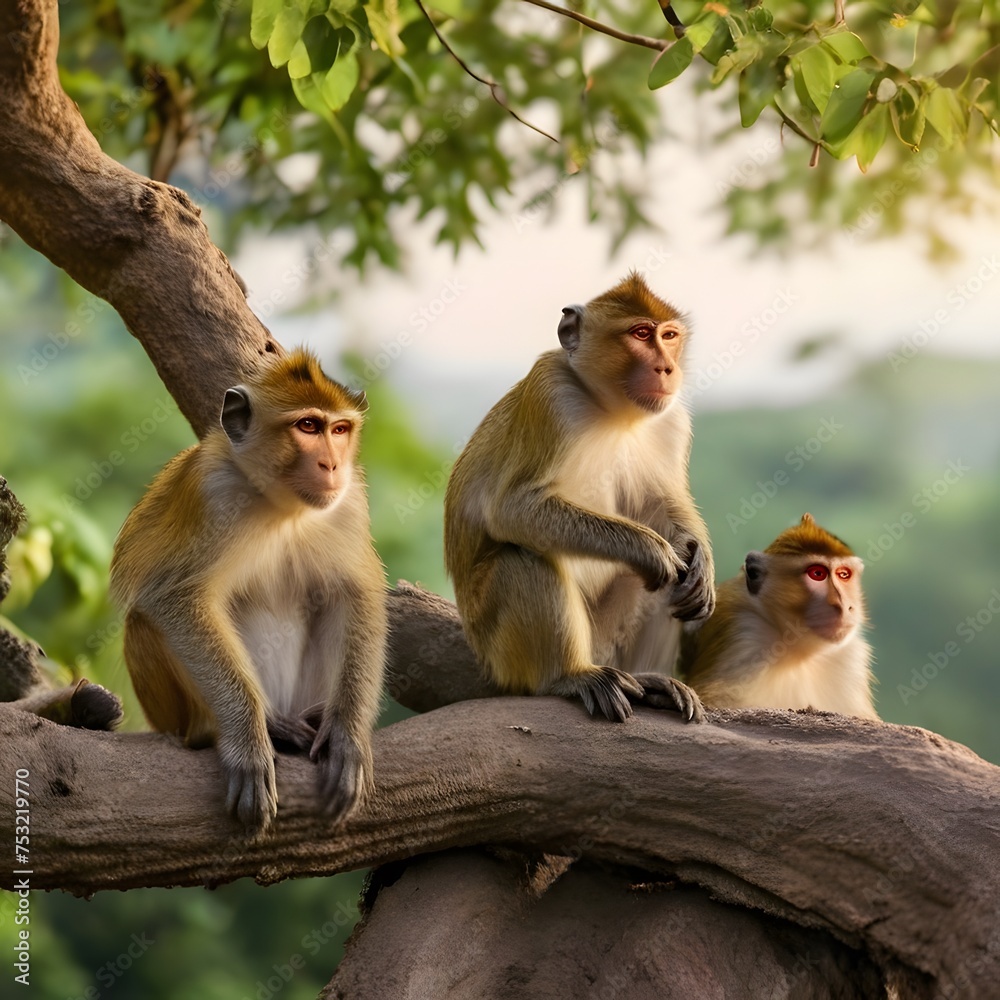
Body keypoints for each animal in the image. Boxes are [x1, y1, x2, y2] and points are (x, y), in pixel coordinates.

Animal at [110, 348, 387, 834]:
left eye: (339, 430)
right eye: (308, 426)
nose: (332, 465)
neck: (281, 506)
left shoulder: (349, 503)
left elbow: (357, 595)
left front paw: (347, 736)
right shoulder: (213, 493)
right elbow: (173, 598)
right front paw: (247, 741)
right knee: (144, 620)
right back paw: (251, 727)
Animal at [444, 272, 714, 724]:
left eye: (669, 335)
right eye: (641, 334)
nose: (667, 368)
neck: (614, 411)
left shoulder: (672, 420)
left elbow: (664, 504)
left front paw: (701, 563)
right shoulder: (549, 393)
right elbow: (513, 508)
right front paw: (648, 547)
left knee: (671, 586)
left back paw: (649, 679)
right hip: (502, 651)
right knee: (525, 555)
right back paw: (570, 675)